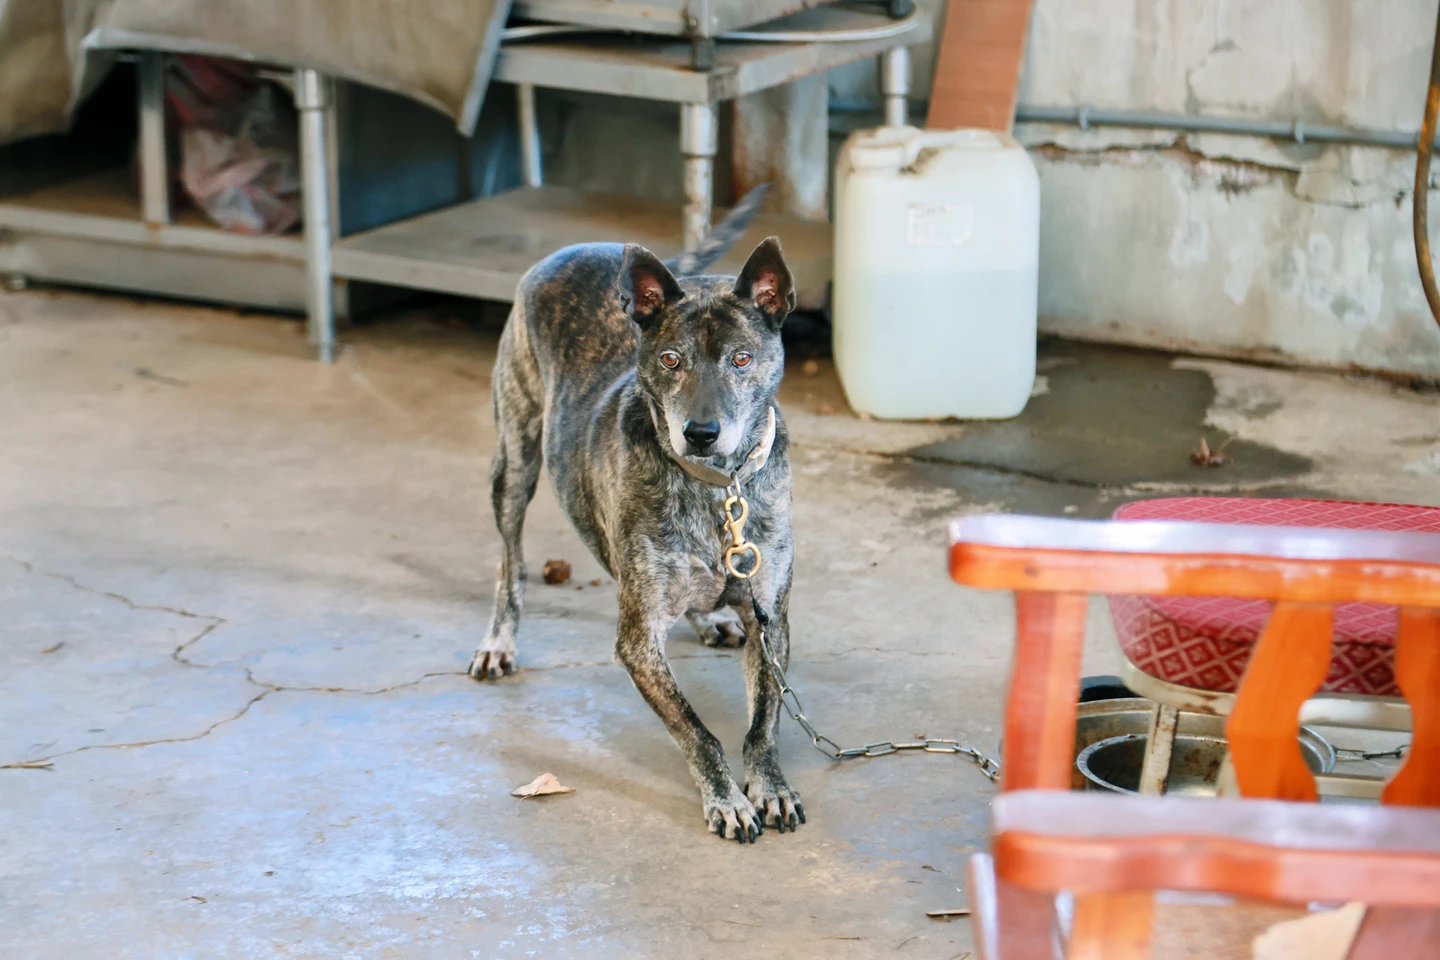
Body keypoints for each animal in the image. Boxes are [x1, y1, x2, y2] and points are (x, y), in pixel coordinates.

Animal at [468, 188, 801, 843]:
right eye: (671, 359)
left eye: (742, 358)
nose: (700, 432)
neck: (716, 488)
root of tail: (585, 246)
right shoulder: (638, 641)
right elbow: (696, 729)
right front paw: (726, 798)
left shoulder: (770, 617)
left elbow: (762, 724)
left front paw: (770, 785)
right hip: (514, 462)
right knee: (509, 561)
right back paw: (499, 638)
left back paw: (708, 619)